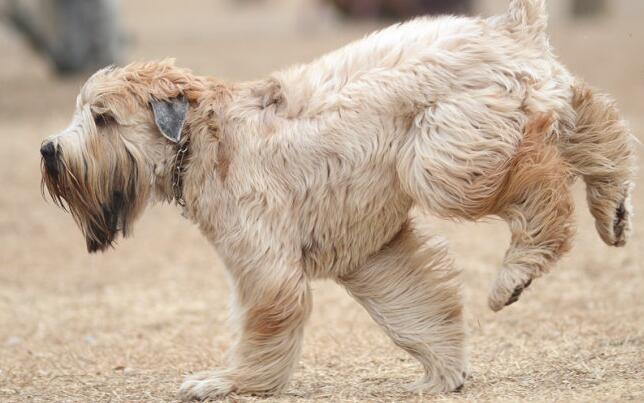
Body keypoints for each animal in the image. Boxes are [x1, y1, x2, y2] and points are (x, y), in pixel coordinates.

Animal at [40, 0, 636, 399]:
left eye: (102, 118)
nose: (48, 150)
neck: (204, 133)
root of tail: (508, 27)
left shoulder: (265, 260)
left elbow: (268, 319)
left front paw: (231, 382)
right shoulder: (371, 254)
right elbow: (416, 310)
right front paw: (444, 373)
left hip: (445, 162)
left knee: (544, 188)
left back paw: (520, 269)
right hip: (509, 126)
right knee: (596, 121)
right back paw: (613, 206)